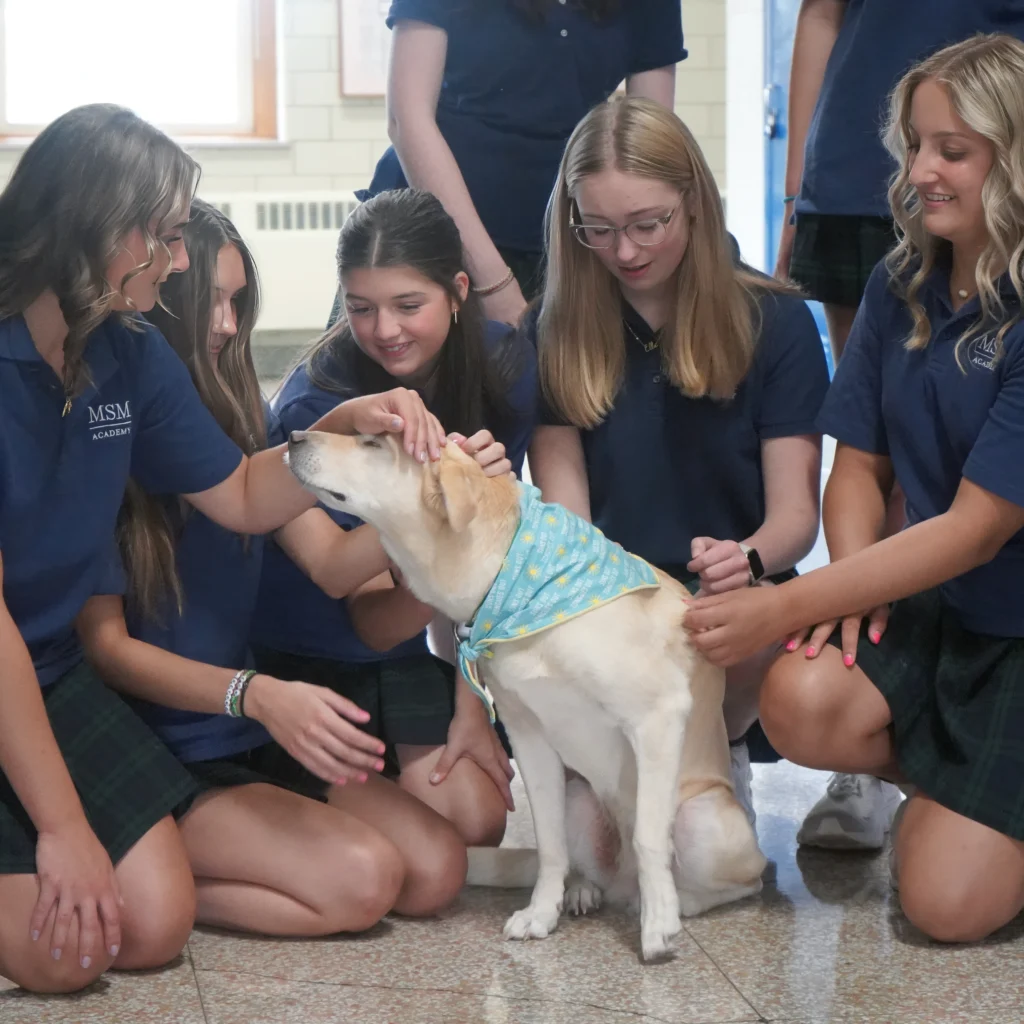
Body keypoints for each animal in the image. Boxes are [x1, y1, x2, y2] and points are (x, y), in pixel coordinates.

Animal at [284, 430, 765, 958]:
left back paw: (669, 904)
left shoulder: (658, 715)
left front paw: (659, 924)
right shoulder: (529, 737)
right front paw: (540, 914)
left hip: (709, 823)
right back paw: (584, 891)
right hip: (580, 796)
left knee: (741, 880)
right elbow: (550, 845)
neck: (516, 587)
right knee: (587, 863)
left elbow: (649, 837)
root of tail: (621, 884)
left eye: (373, 443)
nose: (293, 436)